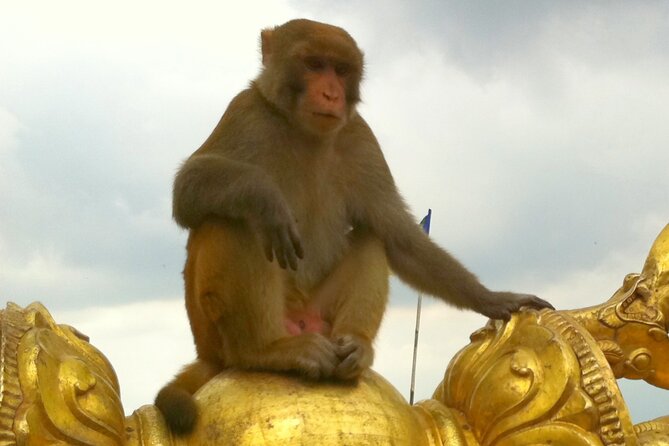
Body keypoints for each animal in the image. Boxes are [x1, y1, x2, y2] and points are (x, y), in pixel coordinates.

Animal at [154, 18, 553, 435]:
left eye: (341, 70)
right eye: (314, 64)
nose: (330, 93)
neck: (306, 133)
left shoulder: (361, 136)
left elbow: (397, 235)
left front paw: (493, 298)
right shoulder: (246, 112)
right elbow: (188, 191)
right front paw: (266, 198)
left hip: (321, 319)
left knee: (370, 237)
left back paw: (357, 346)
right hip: (214, 332)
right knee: (235, 222)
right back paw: (265, 349)